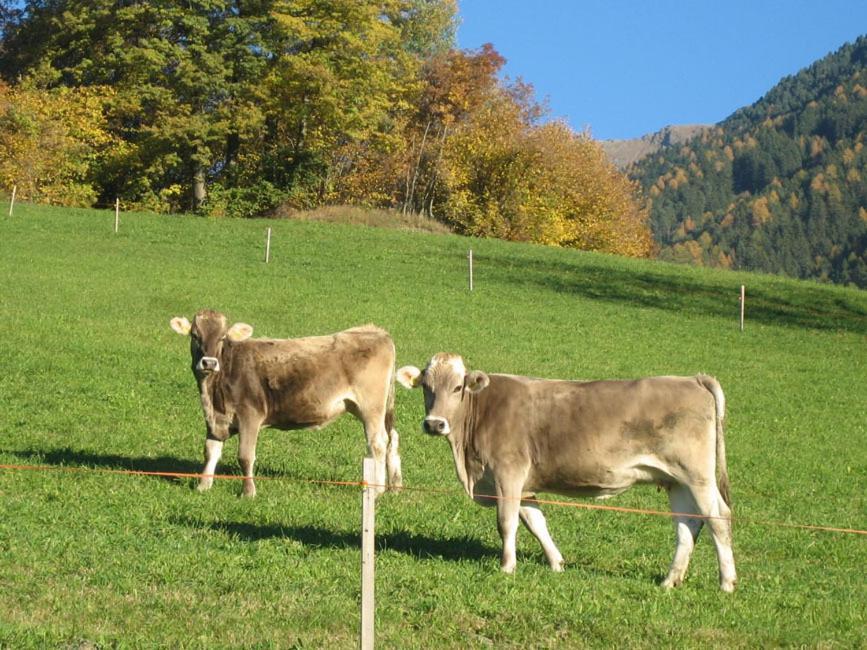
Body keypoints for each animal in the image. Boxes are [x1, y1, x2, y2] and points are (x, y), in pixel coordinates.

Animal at [170, 308, 404, 496]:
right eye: (195, 335)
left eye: (222, 338)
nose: (209, 363)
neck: (212, 395)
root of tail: (375, 331)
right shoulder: (215, 420)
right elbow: (210, 451)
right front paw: (203, 485)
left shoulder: (249, 416)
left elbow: (245, 456)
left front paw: (248, 492)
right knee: (392, 438)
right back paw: (394, 487)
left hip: (371, 408)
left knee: (378, 442)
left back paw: (377, 490)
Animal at [396, 352, 736, 588]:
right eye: (426, 387)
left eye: (457, 388)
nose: (435, 424)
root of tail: (692, 379)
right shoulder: (523, 483)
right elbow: (536, 522)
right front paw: (557, 563)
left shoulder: (508, 473)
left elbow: (507, 522)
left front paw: (507, 567)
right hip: (676, 480)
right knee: (687, 525)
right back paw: (669, 580)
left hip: (697, 476)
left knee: (719, 518)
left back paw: (727, 583)